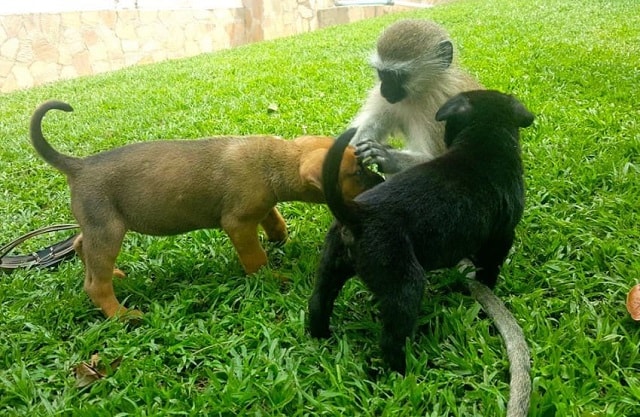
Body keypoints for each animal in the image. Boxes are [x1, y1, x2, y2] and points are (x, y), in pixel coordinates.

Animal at [30, 100, 382, 316]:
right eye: (356, 172)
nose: (380, 181)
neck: (272, 161)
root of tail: (78, 166)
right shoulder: (238, 224)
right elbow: (255, 257)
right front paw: (271, 277)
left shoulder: (260, 208)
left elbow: (274, 220)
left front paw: (282, 239)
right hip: (109, 230)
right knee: (95, 284)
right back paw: (120, 314)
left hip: (97, 226)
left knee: (81, 245)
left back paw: (115, 274)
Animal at [310, 89, 536, 372]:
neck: (486, 137)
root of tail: (357, 213)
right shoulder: (501, 236)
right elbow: (490, 267)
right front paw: (486, 288)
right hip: (405, 284)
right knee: (392, 339)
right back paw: (405, 371)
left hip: (331, 265)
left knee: (318, 302)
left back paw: (320, 337)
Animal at [352, 18, 482, 172]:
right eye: (382, 74)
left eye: (396, 76)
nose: (384, 90)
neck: (420, 94)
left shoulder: (441, 106)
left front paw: (388, 157)